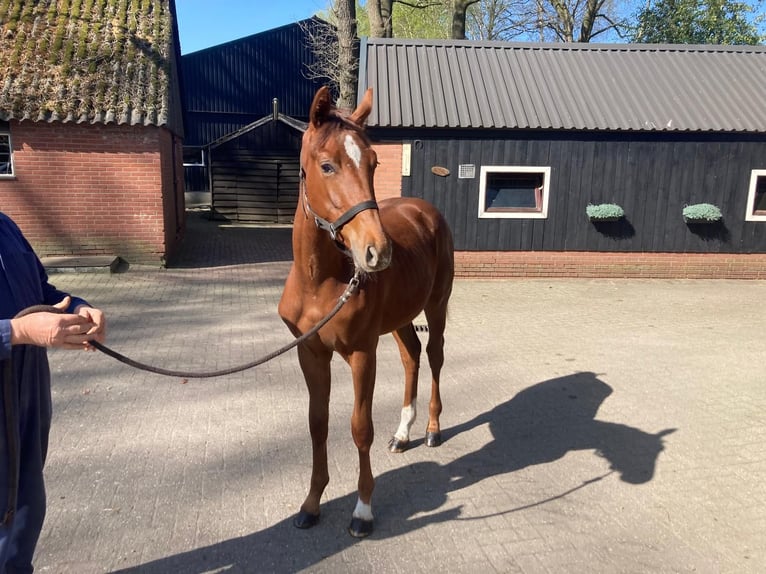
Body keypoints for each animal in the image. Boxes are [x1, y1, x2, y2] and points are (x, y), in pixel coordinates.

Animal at [278, 86, 454, 538]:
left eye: (374, 163)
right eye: (327, 165)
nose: (378, 252)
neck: (321, 283)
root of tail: (425, 210)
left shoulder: (362, 353)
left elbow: (360, 428)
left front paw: (362, 511)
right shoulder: (311, 353)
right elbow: (317, 424)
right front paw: (311, 504)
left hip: (437, 305)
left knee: (434, 357)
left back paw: (431, 430)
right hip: (399, 319)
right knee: (411, 355)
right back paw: (403, 433)